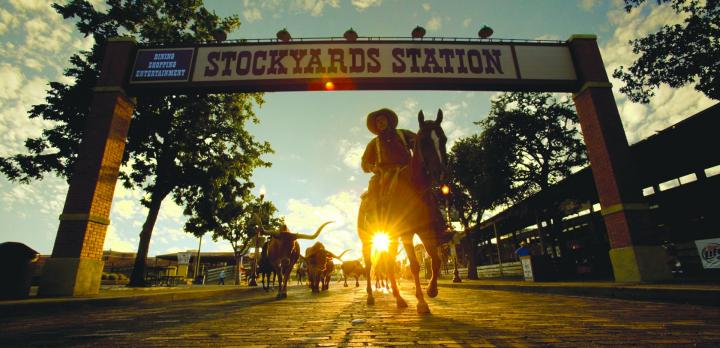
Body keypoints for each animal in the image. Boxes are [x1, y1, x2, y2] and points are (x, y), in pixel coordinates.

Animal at [358, 109, 450, 316]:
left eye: (443, 139)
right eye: (423, 141)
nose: (440, 173)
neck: (415, 188)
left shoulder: (425, 230)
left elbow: (436, 259)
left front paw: (431, 290)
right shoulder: (407, 233)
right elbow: (415, 266)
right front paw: (422, 303)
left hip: (392, 238)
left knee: (389, 264)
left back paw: (398, 298)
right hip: (369, 240)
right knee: (369, 266)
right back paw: (370, 296)